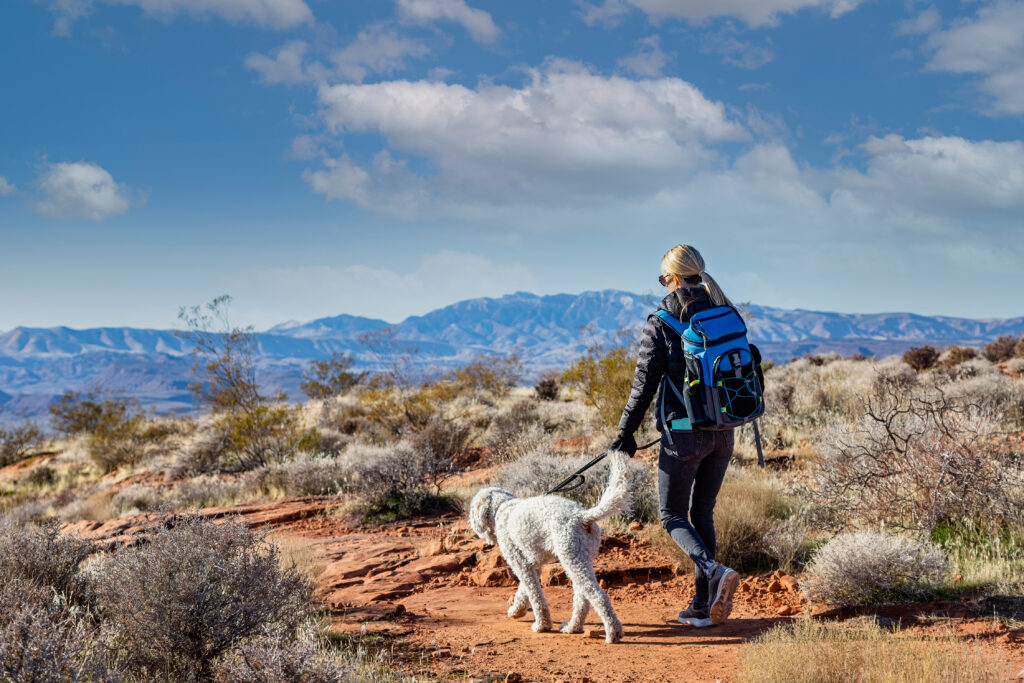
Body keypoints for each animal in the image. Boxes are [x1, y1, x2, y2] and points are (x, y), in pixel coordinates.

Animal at [466, 454, 630, 643]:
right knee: (582, 600)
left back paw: (613, 632)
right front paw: (516, 611)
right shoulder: (531, 566)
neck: (502, 508)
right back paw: (572, 627)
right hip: (580, 559)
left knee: (598, 596)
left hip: (571, 557)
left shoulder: (520, 564)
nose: (471, 524)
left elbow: (535, 595)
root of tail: (582, 516)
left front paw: (542, 625)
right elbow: (524, 591)